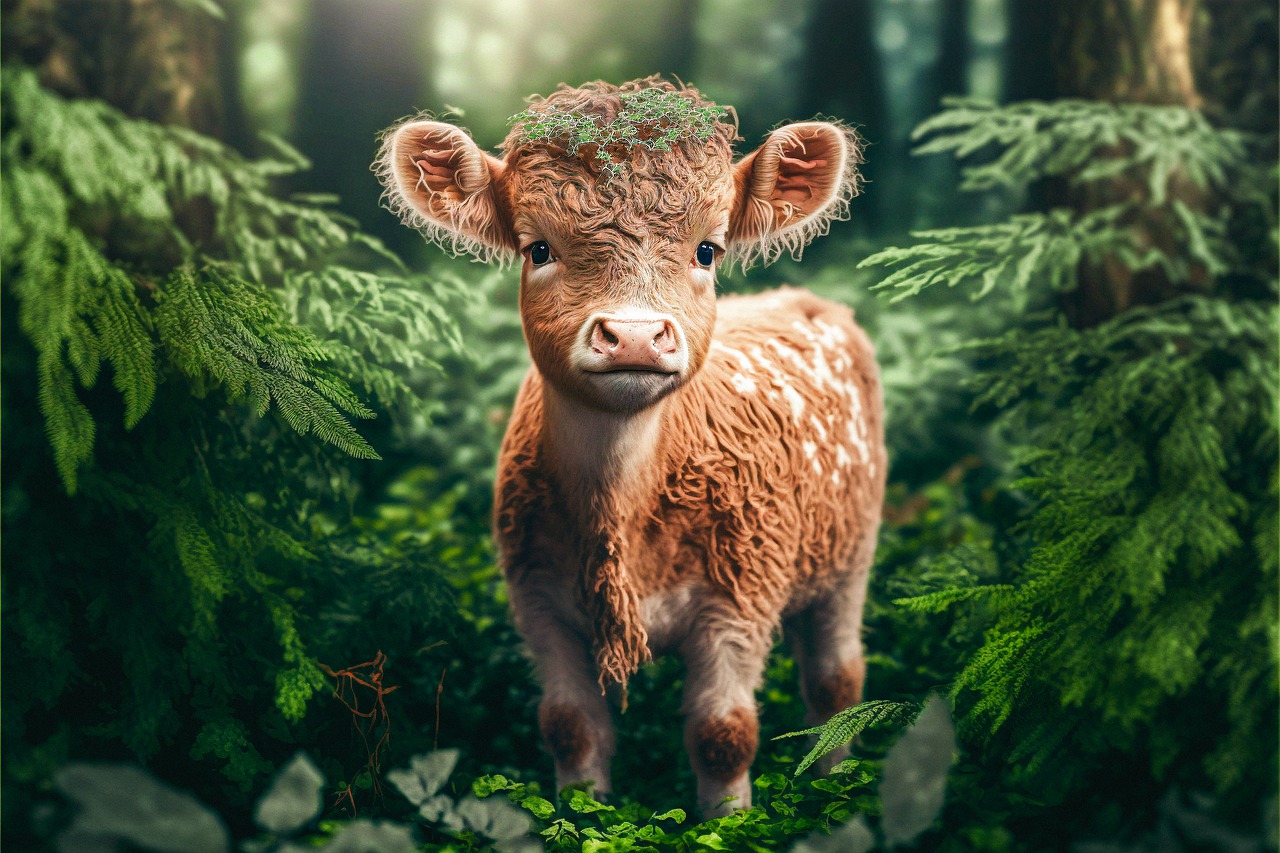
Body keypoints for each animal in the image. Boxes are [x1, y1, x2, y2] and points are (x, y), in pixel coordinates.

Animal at [377, 77, 885, 817]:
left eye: (708, 250)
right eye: (538, 248)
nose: (637, 336)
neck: (620, 505)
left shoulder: (741, 592)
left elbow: (723, 733)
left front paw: (729, 820)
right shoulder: (536, 596)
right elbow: (569, 725)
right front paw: (577, 809)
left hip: (850, 552)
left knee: (836, 682)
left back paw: (837, 782)